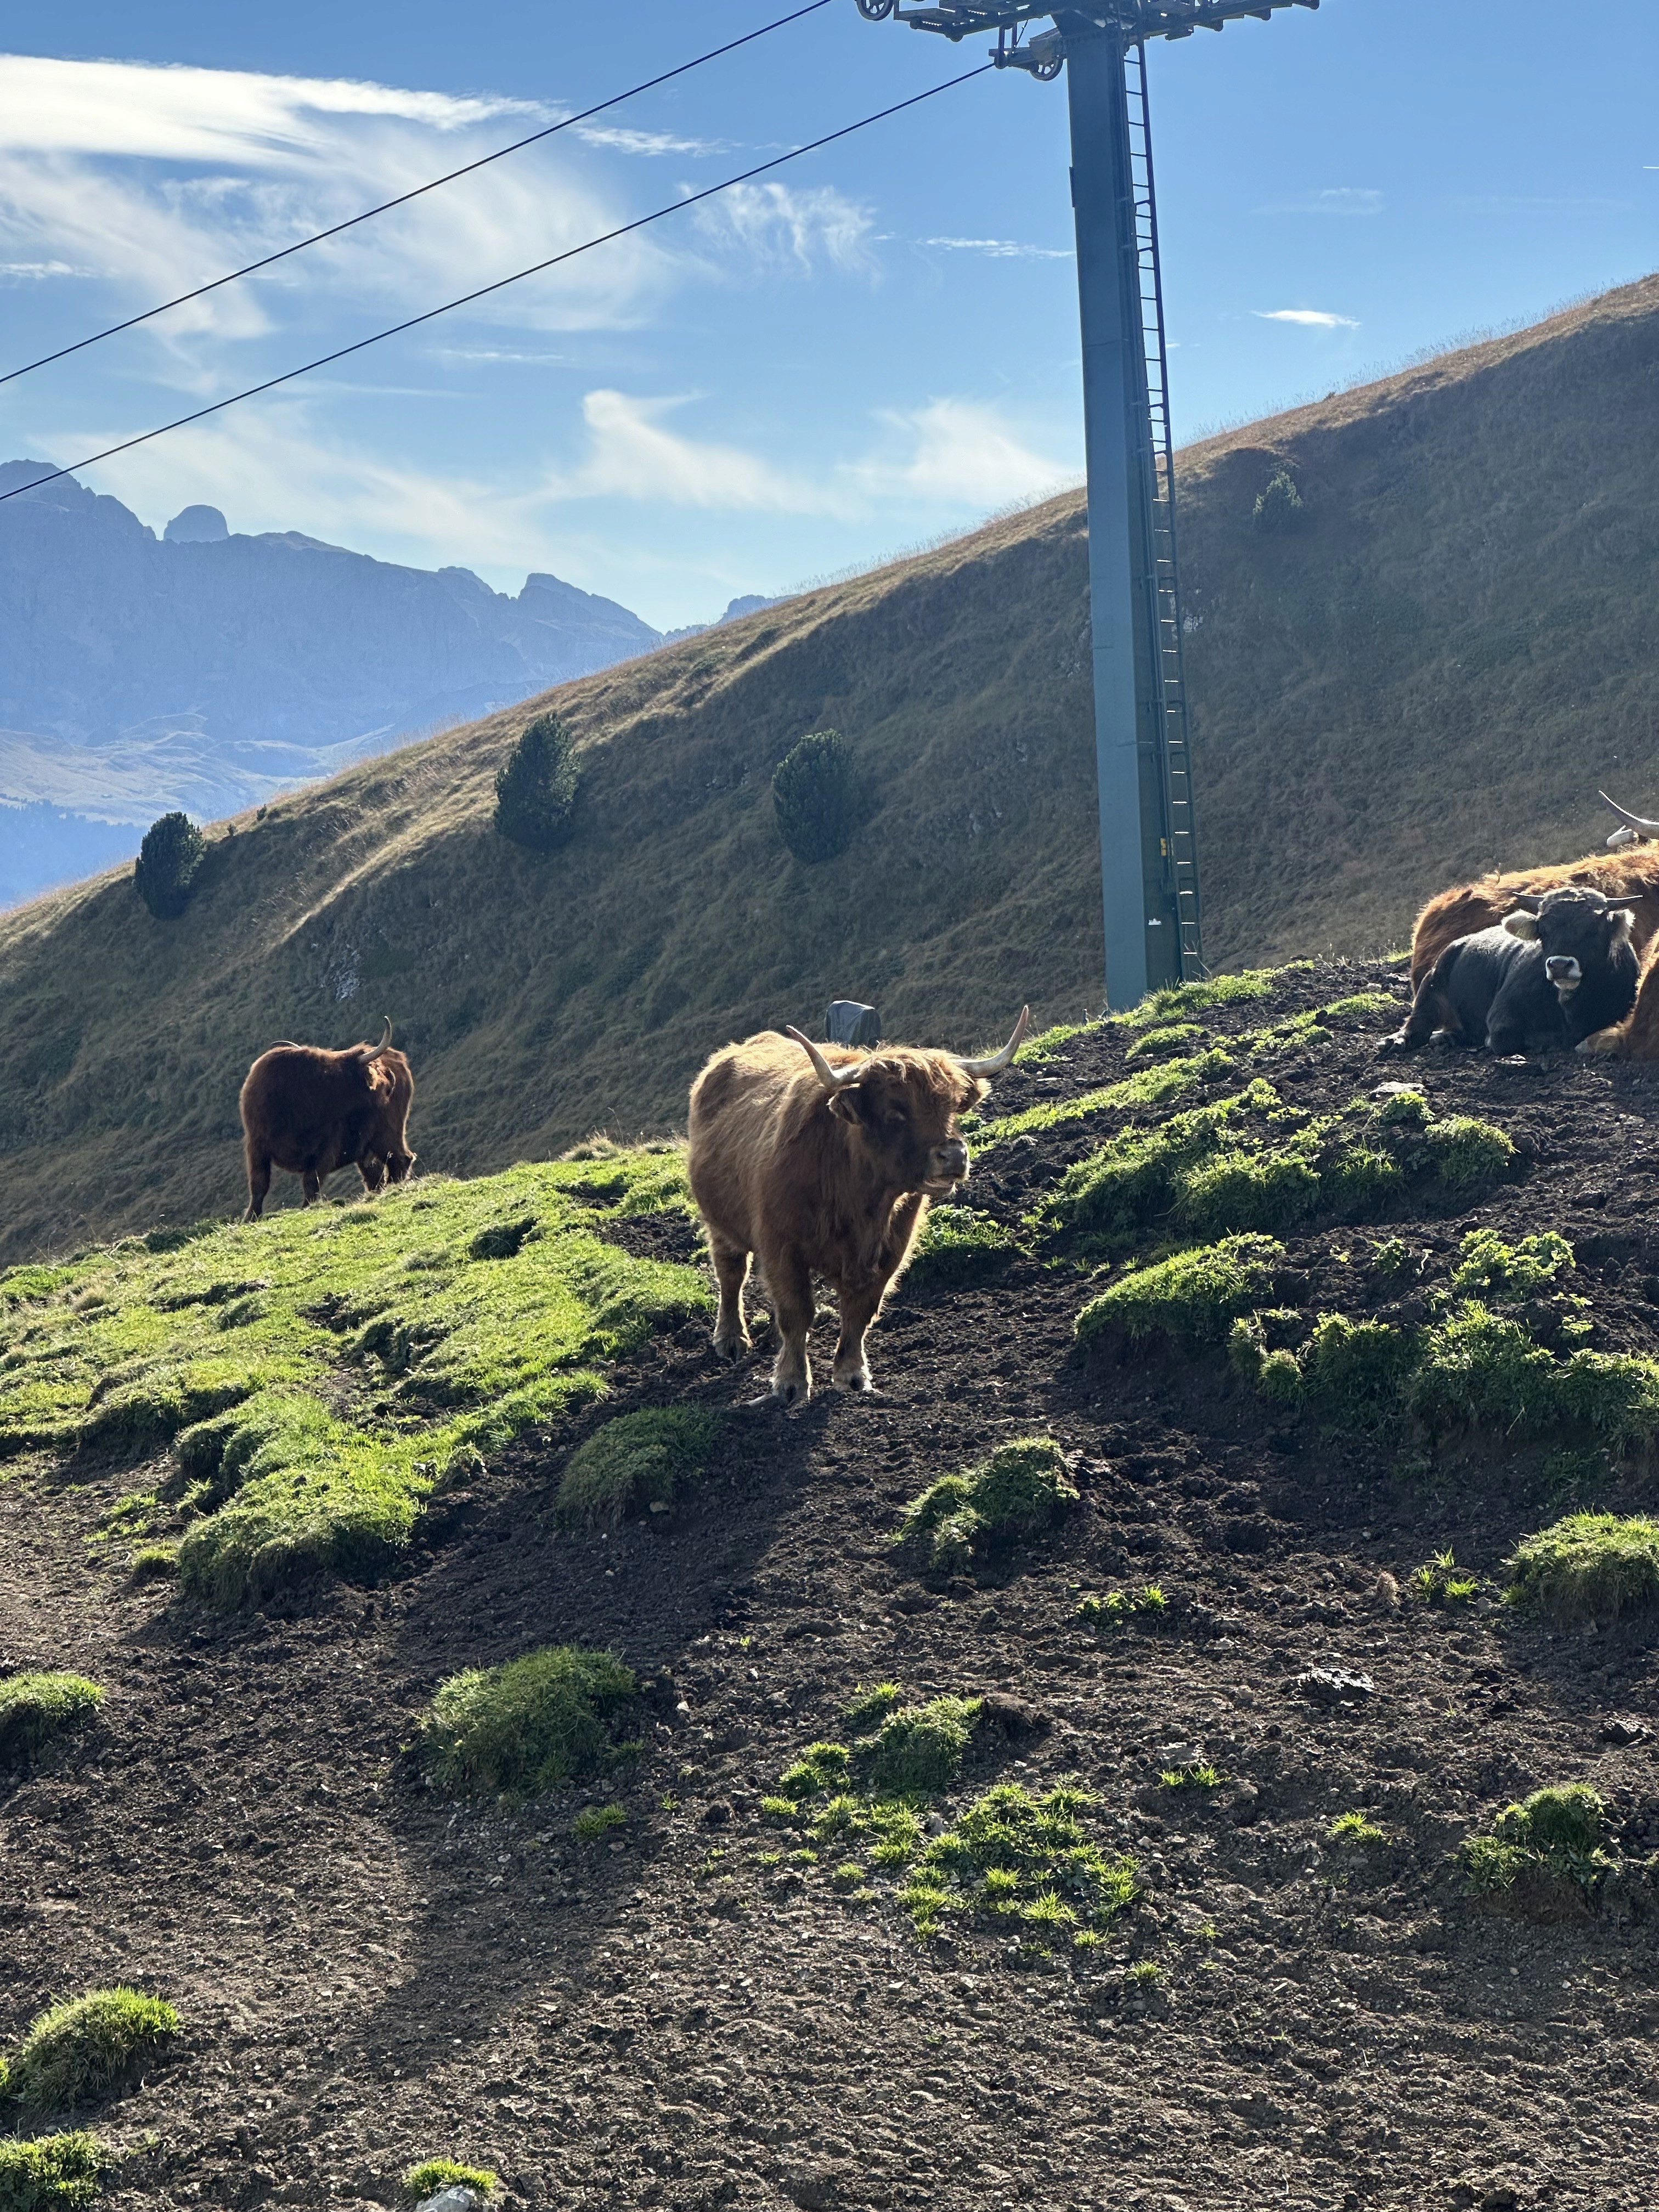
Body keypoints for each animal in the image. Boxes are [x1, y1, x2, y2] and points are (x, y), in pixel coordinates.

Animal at [239, 1017, 416, 1221]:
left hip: (387, 1134)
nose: (390, 1084)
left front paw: (307, 1208)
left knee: (400, 1160)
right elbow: (259, 1184)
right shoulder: (256, 1145)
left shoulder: (327, 1148)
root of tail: (400, 1060)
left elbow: (311, 1182)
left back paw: (394, 1189)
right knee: (376, 1174)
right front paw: (250, 1217)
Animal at [686, 1006, 1030, 1405]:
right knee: (731, 1273)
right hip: (720, 1222)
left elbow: (860, 1311)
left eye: (952, 1106)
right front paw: (791, 1382)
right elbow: (796, 1312)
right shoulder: (780, 1247)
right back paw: (731, 1339)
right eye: (895, 1111)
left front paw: (852, 1375)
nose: (954, 1156)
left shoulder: (890, 1250)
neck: (860, 1199)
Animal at [1384, 886, 1639, 1057]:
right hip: (1431, 985)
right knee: (1418, 1023)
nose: (1559, 965)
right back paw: (1397, 1041)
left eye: (1594, 929)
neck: (1570, 1008)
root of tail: (1461, 941)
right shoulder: (1501, 1016)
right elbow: (1506, 1040)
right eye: (1543, 929)